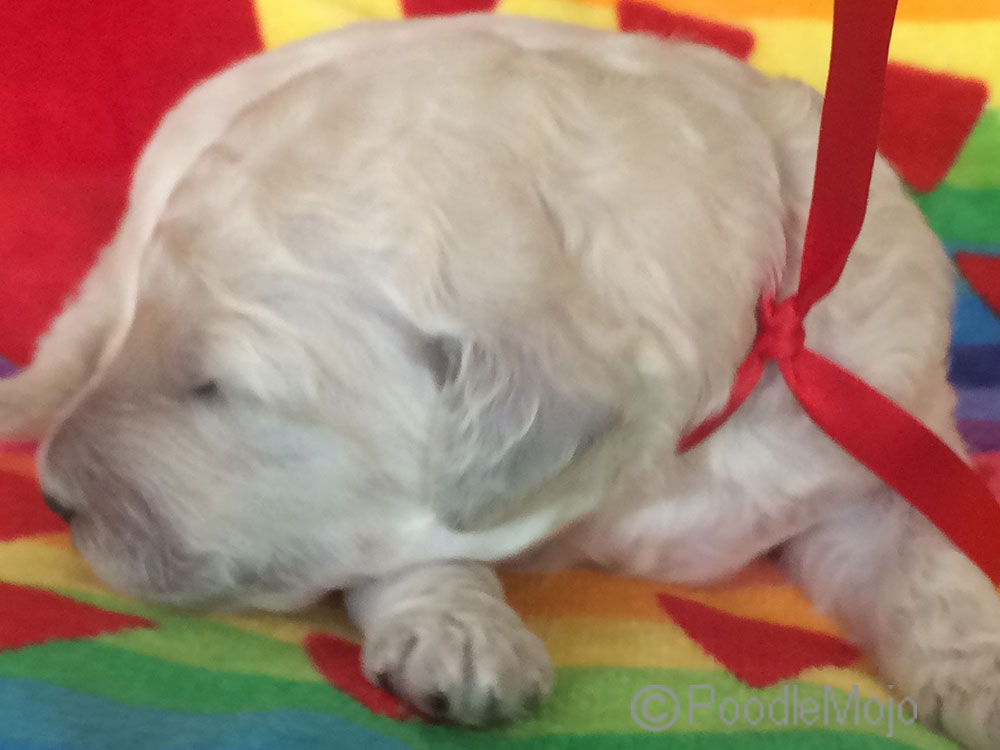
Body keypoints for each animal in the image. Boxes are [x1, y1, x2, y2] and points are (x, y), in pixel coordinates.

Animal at [1, 14, 997, 748]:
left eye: (214, 390)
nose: (52, 499)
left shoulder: (880, 437)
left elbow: (931, 564)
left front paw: (983, 678)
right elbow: (408, 544)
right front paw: (460, 636)